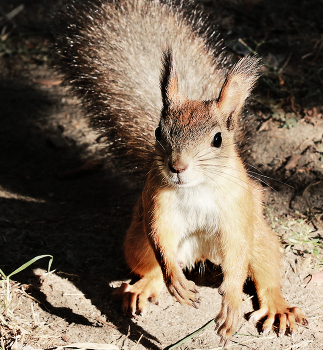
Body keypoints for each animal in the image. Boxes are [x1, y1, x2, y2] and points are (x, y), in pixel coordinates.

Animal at [55, 0, 308, 344]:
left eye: (217, 139)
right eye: (158, 132)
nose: (177, 167)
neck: (197, 187)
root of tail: (202, 256)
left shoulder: (236, 209)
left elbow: (237, 253)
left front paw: (231, 302)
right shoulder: (156, 202)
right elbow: (160, 236)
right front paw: (175, 281)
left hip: (261, 238)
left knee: (265, 269)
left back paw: (278, 308)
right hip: (136, 242)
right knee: (149, 264)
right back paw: (144, 287)